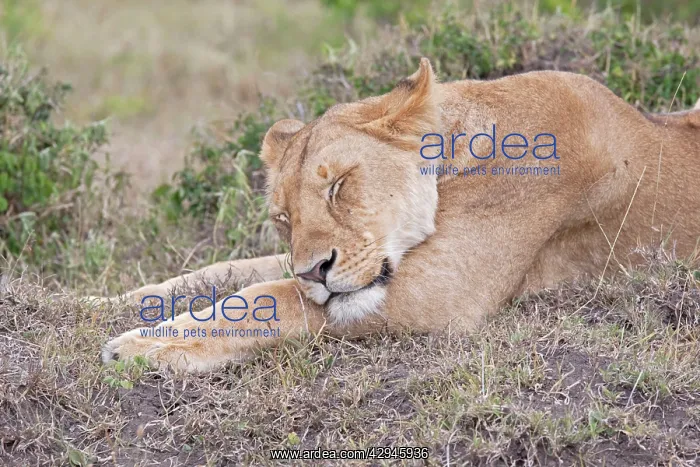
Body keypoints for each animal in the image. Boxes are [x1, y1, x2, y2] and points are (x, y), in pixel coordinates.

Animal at [100, 58, 700, 372]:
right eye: (284, 218)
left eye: (339, 185)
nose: (313, 270)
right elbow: (222, 272)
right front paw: (105, 303)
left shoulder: (441, 292)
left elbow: (269, 297)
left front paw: (143, 345)